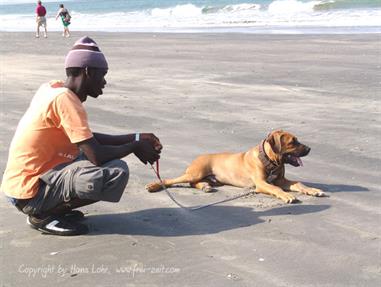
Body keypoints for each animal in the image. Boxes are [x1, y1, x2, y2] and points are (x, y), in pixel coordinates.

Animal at [145, 131, 324, 205]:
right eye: (293, 142)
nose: (309, 149)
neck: (270, 160)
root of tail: (198, 157)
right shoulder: (262, 184)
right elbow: (276, 189)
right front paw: (287, 196)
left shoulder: (281, 179)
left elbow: (299, 183)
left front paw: (313, 190)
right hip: (195, 172)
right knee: (172, 180)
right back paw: (154, 185)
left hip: (210, 178)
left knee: (194, 183)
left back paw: (205, 186)